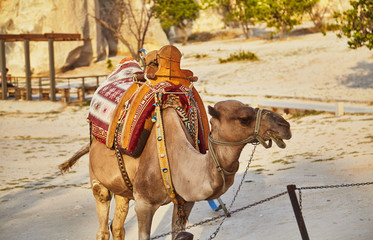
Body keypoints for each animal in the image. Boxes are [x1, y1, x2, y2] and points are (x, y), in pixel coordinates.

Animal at [59, 98, 290, 239]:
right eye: (243, 118)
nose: (284, 125)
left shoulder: (185, 202)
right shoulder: (144, 203)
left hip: (123, 190)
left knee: (117, 226)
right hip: (98, 182)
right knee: (102, 224)